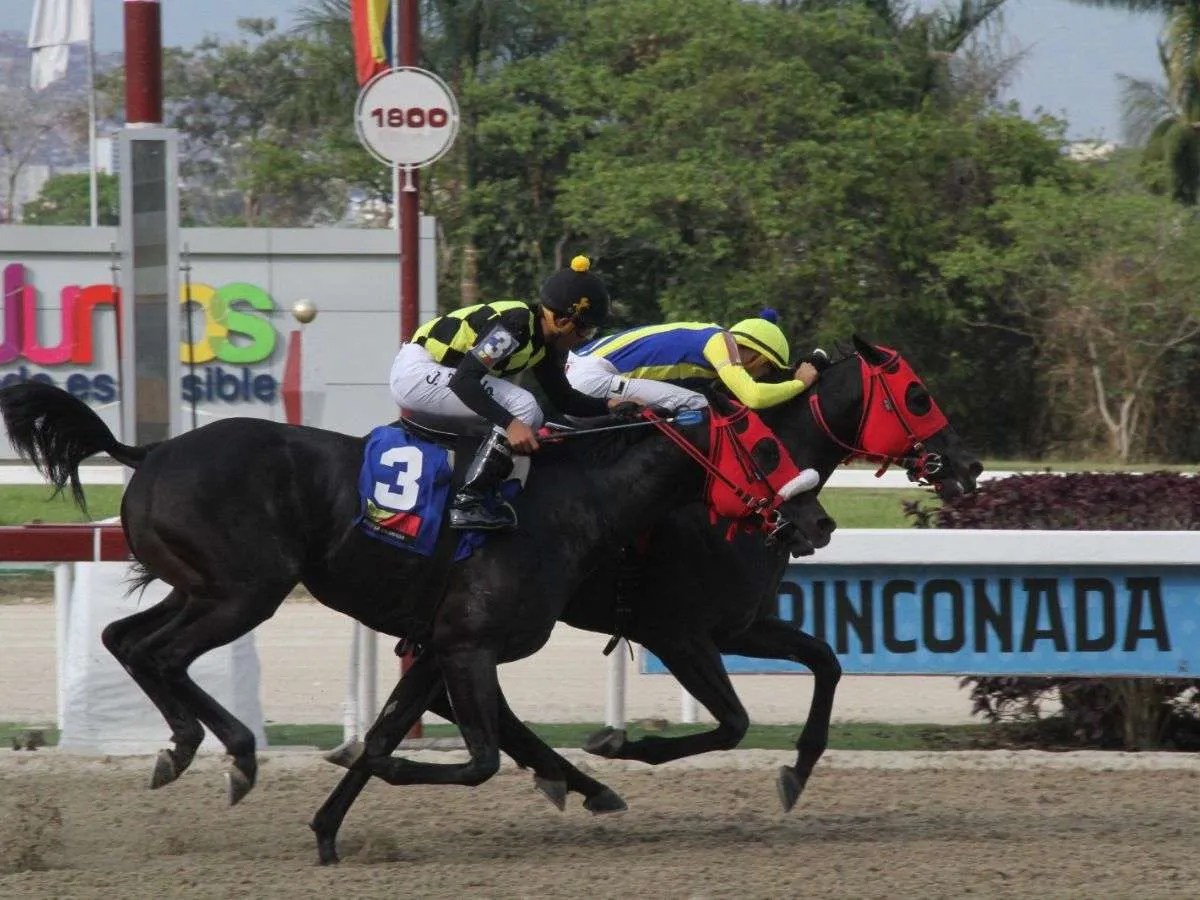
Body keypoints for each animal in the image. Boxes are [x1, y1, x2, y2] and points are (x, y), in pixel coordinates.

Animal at [314, 340, 979, 868]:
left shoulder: (741, 625)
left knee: (451, 700)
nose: (969, 464)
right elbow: (733, 722)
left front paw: (797, 769)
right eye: (917, 395)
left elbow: (825, 662)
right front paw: (622, 744)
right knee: (457, 700)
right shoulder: (677, 630)